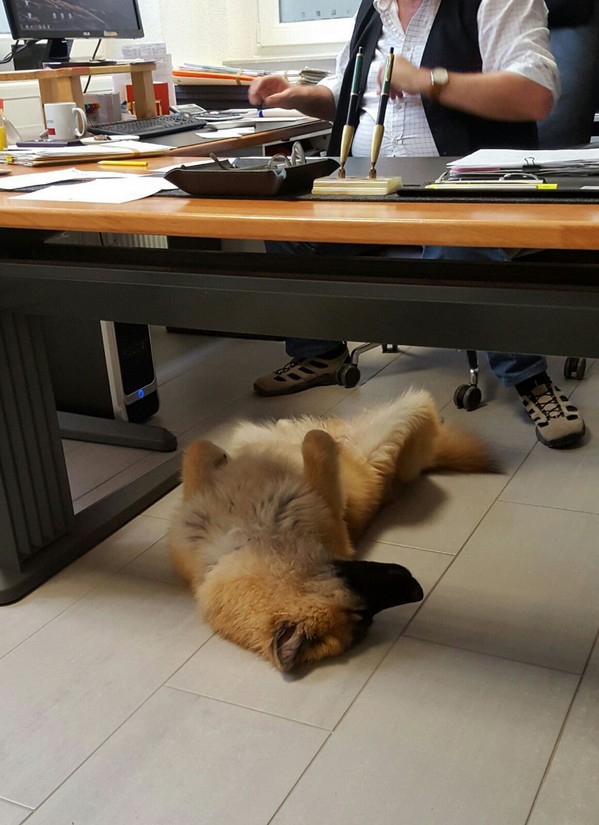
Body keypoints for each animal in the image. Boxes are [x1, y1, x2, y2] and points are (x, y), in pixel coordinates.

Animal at [169, 390, 492, 672]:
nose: (417, 590)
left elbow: (198, 448)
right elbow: (314, 443)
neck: (253, 539)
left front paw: (219, 454)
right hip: (400, 425)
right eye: (363, 614)